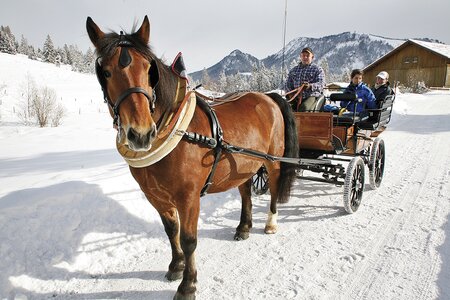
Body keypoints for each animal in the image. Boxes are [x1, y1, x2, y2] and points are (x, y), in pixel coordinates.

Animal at [85, 15, 298, 300]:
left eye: (148, 69)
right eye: (106, 72)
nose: (140, 134)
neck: (175, 131)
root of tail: (269, 96)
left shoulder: (188, 197)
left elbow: (188, 239)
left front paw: (188, 284)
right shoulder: (155, 196)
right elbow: (171, 231)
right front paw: (176, 266)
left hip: (272, 161)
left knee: (274, 189)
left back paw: (271, 223)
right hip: (242, 164)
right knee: (245, 193)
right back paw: (243, 227)